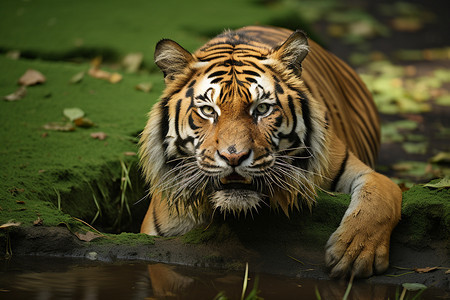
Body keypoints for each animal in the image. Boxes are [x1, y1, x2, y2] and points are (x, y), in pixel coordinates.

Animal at [139, 25, 402, 278]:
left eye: (262, 109)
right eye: (208, 111)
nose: (233, 156)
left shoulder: (368, 175)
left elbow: (377, 200)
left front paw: (355, 253)